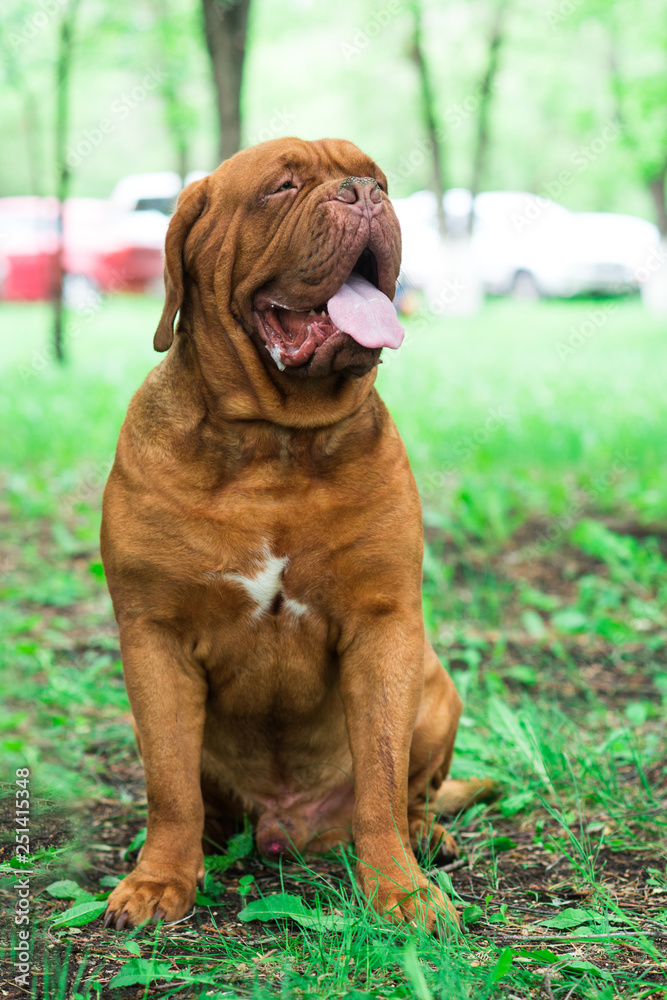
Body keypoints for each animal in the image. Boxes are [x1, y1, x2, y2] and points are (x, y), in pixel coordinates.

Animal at [103, 137, 490, 932]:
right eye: (281, 187)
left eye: (379, 179)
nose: (363, 194)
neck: (275, 446)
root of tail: (287, 827)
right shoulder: (153, 636)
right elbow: (169, 784)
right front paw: (158, 881)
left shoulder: (384, 626)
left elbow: (380, 774)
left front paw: (400, 893)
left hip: (436, 687)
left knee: (414, 793)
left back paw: (425, 838)